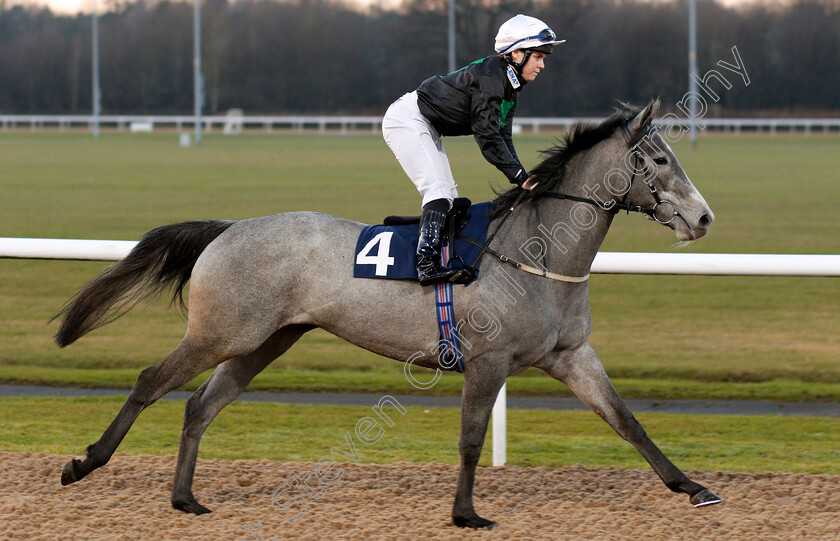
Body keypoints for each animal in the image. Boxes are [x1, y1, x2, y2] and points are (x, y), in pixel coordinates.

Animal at [54, 100, 720, 528]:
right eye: (660, 160)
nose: (704, 217)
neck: (538, 250)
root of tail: (227, 228)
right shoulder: (489, 359)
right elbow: (471, 438)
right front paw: (466, 513)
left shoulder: (570, 355)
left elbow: (627, 421)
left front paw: (693, 487)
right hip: (222, 332)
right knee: (150, 382)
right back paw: (85, 464)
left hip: (266, 340)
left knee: (199, 404)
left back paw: (185, 499)